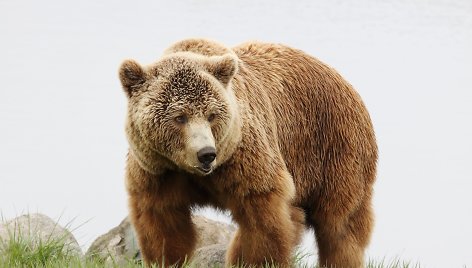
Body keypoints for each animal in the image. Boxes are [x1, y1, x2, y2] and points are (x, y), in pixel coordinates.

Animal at [120, 38, 378, 266]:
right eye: (179, 117)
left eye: (212, 115)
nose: (206, 154)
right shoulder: (158, 170)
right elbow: (163, 223)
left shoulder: (244, 159)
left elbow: (262, 218)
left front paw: (255, 260)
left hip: (335, 150)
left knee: (340, 225)